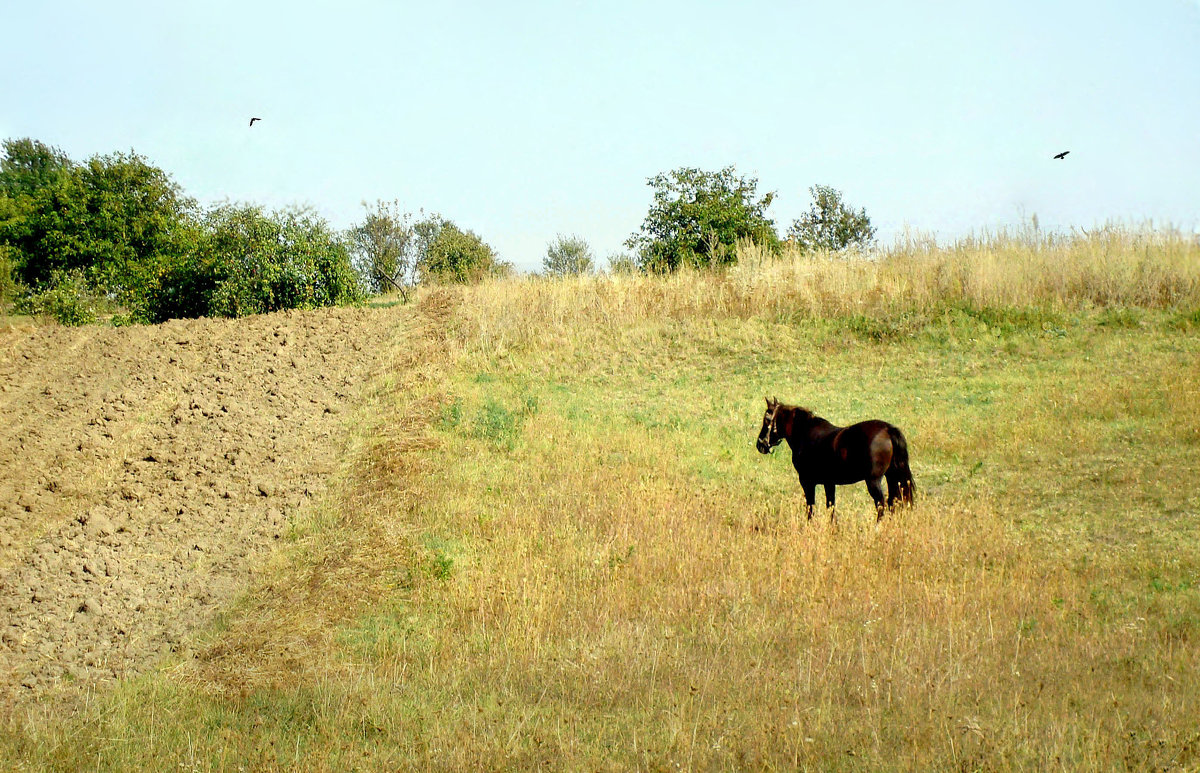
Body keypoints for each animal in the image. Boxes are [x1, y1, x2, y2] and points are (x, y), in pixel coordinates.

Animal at [753, 398, 912, 518]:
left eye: (767, 419)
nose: (760, 444)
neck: (805, 433)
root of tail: (887, 429)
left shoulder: (807, 482)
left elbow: (811, 508)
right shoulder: (829, 483)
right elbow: (831, 508)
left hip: (873, 481)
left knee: (881, 504)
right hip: (892, 477)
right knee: (893, 502)